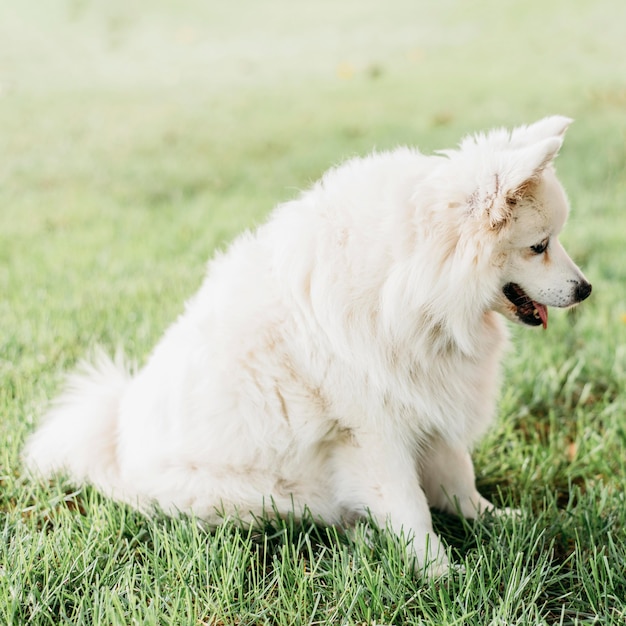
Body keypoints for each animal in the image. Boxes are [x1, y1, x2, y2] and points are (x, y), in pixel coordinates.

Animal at [23, 114, 588, 572]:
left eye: (552, 240)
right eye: (539, 246)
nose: (585, 289)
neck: (407, 291)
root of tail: (115, 443)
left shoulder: (426, 394)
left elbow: (458, 478)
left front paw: (495, 519)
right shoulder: (372, 432)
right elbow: (411, 509)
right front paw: (440, 576)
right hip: (261, 497)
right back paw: (361, 536)